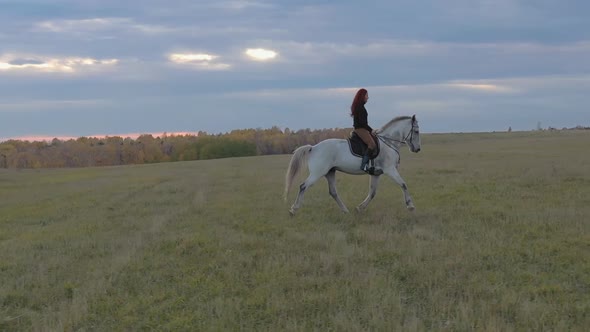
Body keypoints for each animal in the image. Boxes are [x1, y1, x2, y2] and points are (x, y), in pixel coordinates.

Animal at [286, 115, 420, 215]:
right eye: (416, 131)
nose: (417, 149)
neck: (388, 142)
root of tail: (313, 148)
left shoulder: (376, 174)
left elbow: (372, 193)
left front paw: (360, 208)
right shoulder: (390, 170)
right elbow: (403, 184)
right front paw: (410, 206)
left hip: (330, 172)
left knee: (333, 192)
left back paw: (345, 211)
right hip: (318, 173)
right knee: (303, 186)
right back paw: (294, 209)